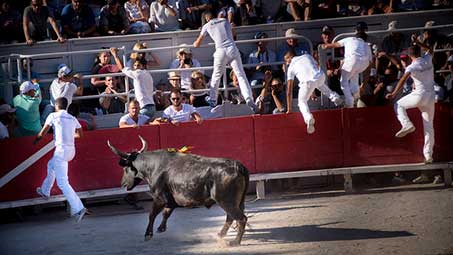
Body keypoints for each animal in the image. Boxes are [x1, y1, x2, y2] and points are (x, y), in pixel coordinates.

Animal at [107, 136, 249, 246]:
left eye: (125, 168)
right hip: (237, 202)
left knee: (240, 218)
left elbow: (152, 214)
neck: (153, 166)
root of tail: (238, 166)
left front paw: (148, 235)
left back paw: (235, 242)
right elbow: (166, 213)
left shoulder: (159, 198)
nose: (122, 183)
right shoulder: (170, 199)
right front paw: (161, 228)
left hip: (226, 201)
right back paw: (220, 235)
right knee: (231, 217)